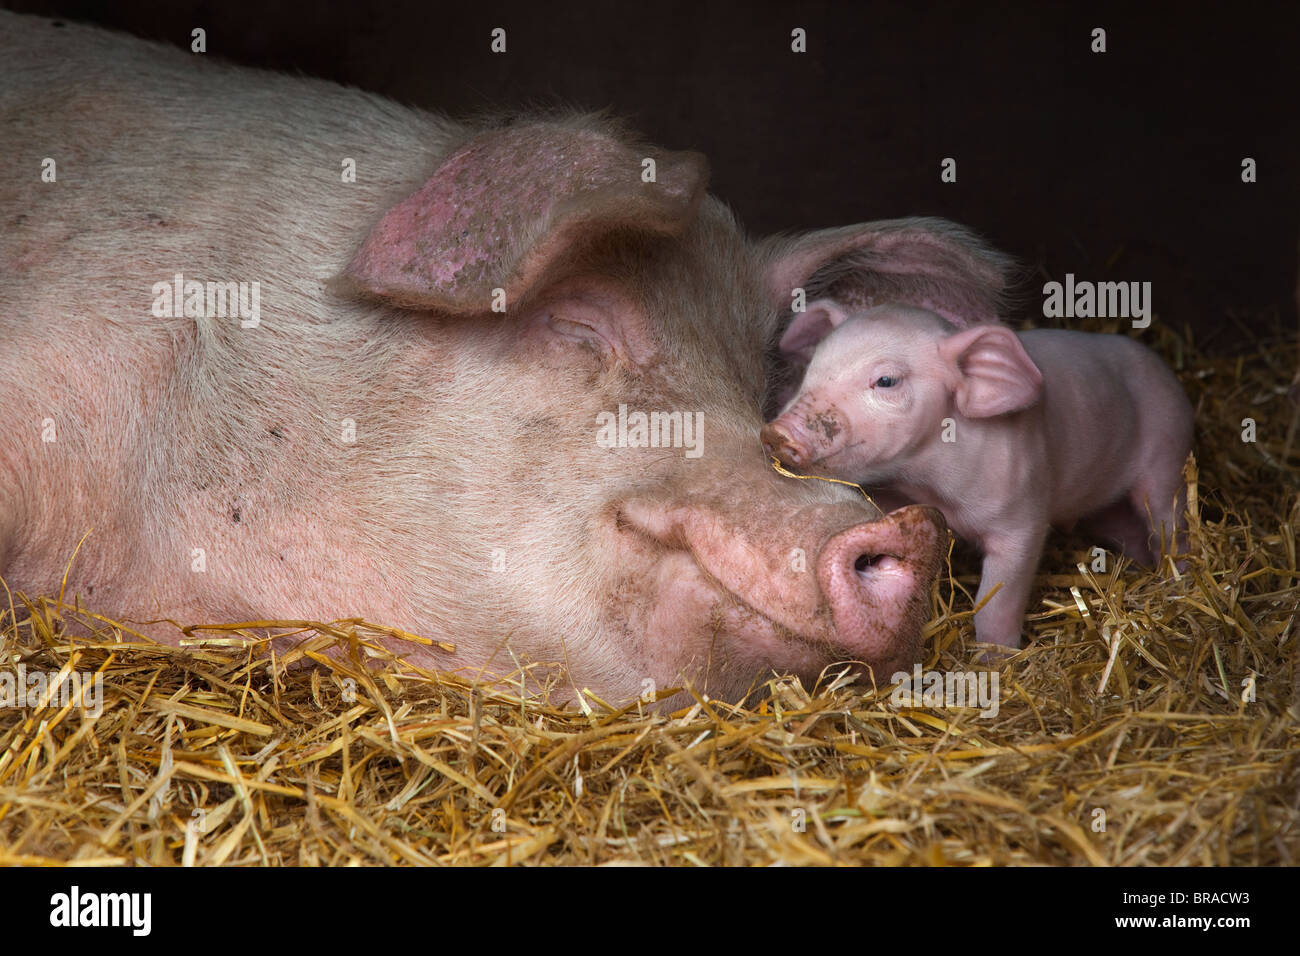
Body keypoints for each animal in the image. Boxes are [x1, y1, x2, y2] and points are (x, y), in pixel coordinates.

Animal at [759, 300, 1196, 650]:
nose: (777, 432)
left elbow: (999, 598)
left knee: (1169, 521)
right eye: (812, 369)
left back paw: (1178, 578)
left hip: (1169, 447)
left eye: (886, 380)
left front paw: (994, 658)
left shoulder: (1022, 513)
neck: (928, 482)